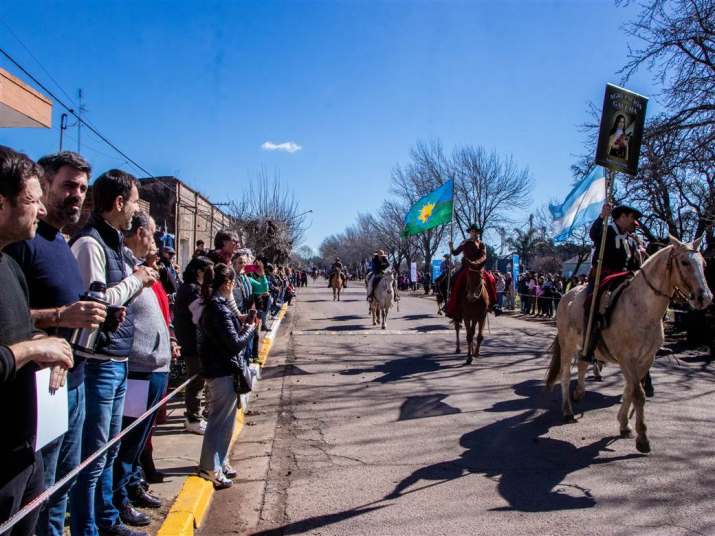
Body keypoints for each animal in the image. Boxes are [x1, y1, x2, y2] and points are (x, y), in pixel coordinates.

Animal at [548, 236, 712, 452]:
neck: (641, 307)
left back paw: (580, 392)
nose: (705, 298)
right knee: (566, 375)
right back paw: (568, 411)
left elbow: (629, 390)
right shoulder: (627, 359)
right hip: (567, 345)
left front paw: (624, 424)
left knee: (583, 363)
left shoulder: (646, 359)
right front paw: (642, 438)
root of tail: (567, 296)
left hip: (585, 345)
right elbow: (637, 394)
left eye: (704, 264)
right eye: (685, 262)